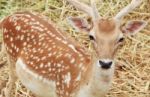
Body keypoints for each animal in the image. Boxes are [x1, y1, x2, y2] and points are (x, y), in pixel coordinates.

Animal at [0, 0, 147, 96]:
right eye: (91, 36)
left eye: (121, 38)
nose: (105, 63)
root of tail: (7, 18)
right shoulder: (62, 91)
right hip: (10, 54)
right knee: (8, 85)